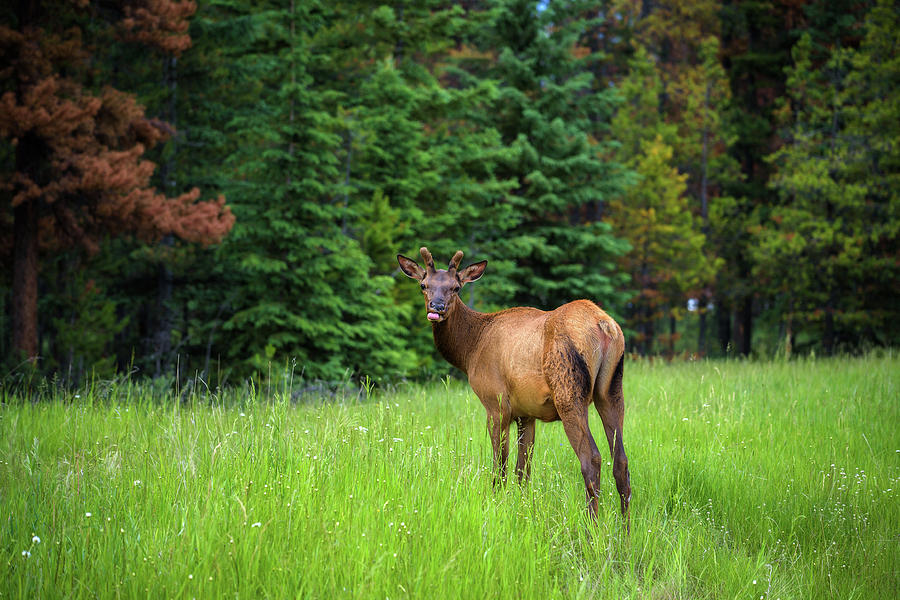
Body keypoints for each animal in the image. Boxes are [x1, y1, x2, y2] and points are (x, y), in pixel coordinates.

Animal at [398, 246, 628, 524]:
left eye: (456, 287)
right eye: (424, 285)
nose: (437, 307)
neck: (469, 351)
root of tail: (605, 326)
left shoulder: (496, 403)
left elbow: (500, 465)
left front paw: (495, 504)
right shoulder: (526, 413)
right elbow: (523, 471)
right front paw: (522, 509)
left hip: (569, 392)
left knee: (592, 459)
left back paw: (591, 528)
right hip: (611, 390)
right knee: (621, 460)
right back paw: (626, 528)